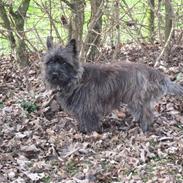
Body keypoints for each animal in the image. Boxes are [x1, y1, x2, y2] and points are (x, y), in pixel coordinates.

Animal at [42, 37, 183, 134]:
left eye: (63, 62)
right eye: (50, 62)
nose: (54, 74)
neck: (77, 79)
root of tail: (153, 72)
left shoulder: (88, 108)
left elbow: (89, 121)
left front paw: (88, 132)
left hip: (137, 100)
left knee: (147, 114)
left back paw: (144, 128)